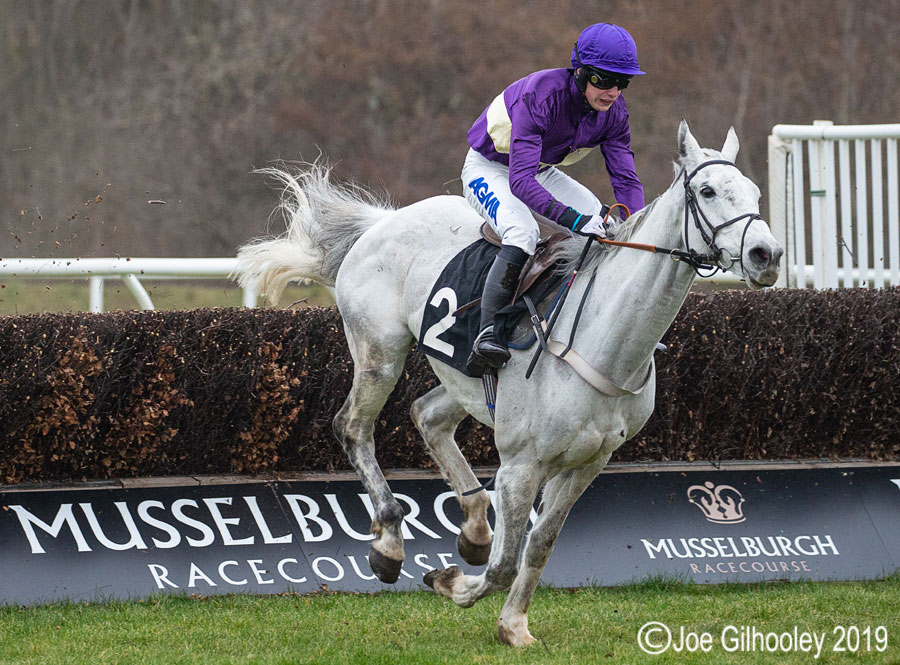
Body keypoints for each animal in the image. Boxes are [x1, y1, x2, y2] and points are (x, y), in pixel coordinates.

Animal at [235, 121, 783, 646]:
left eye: (756, 192)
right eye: (707, 191)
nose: (767, 254)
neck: (604, 341)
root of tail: (382, 222)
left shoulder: (588, 463)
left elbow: (538, 544)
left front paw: (514, 625)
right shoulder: (521, 465)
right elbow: (503, 563)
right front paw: (454, 585)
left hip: (462, 378)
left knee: (427, 416)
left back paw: (475, 525)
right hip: (379, 353)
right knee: (353, 426)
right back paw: (389, 543)